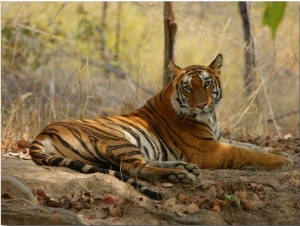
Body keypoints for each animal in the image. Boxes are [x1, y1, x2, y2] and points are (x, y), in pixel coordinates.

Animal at [29, 54, 292, 200]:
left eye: (207, 83)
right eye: (188, 87)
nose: (201, 104)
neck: (210, 116)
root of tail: (42, 133)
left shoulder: (218, 138)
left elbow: (249, 144)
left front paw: (281, 151)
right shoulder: (209, 149)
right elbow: (245, 152)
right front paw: (284, 162)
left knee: (137, 164)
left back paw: (185, 168)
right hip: (118, 140)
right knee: (135, 168)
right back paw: (179, 174)